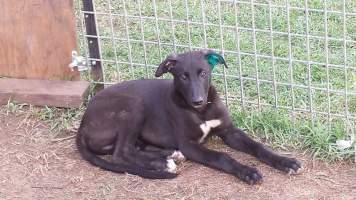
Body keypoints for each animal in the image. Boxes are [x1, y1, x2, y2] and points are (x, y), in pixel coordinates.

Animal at [76, 49, 302, 184]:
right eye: (183, 76)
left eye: (203, 73)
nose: (197, 100)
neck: (201, 112)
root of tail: (82, 125)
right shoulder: (190, 145)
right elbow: (222, 157)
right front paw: (247, 171)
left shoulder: (229, 131)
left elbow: (257, 146)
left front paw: (285, 162)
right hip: (133, 106)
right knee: (121, 152)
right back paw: (162, 163)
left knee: (133, 147)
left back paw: (169, 155)